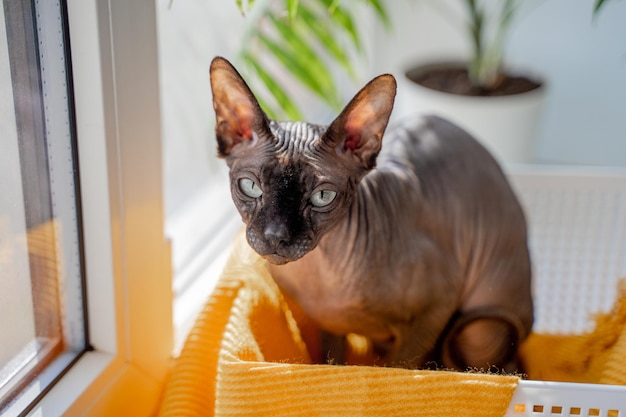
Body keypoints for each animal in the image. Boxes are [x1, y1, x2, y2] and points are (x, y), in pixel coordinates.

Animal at [210, 56, 532, 370]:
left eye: (322, 196)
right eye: (250, 187)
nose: (276, 236)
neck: (323, 274)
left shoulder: (434, 312)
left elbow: (398, 368)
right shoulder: (330, 326)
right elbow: (332, 362)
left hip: (481, 328)